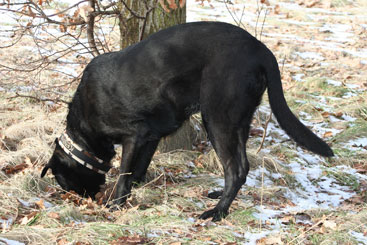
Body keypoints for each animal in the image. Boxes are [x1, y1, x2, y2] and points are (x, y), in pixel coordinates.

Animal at [41, 21, 334, 220]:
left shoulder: (133, 136)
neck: (85, 126)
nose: (87, 200)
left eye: (63, 181)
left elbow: (124, 172)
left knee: (236, 169)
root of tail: (262, 50)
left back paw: (217, 212)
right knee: (243, 166)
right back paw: (219, 197)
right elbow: (138, 169)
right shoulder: (150, 137)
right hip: (238, 121)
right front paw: (133, 190)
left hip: (216, 119)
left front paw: (116, 203)